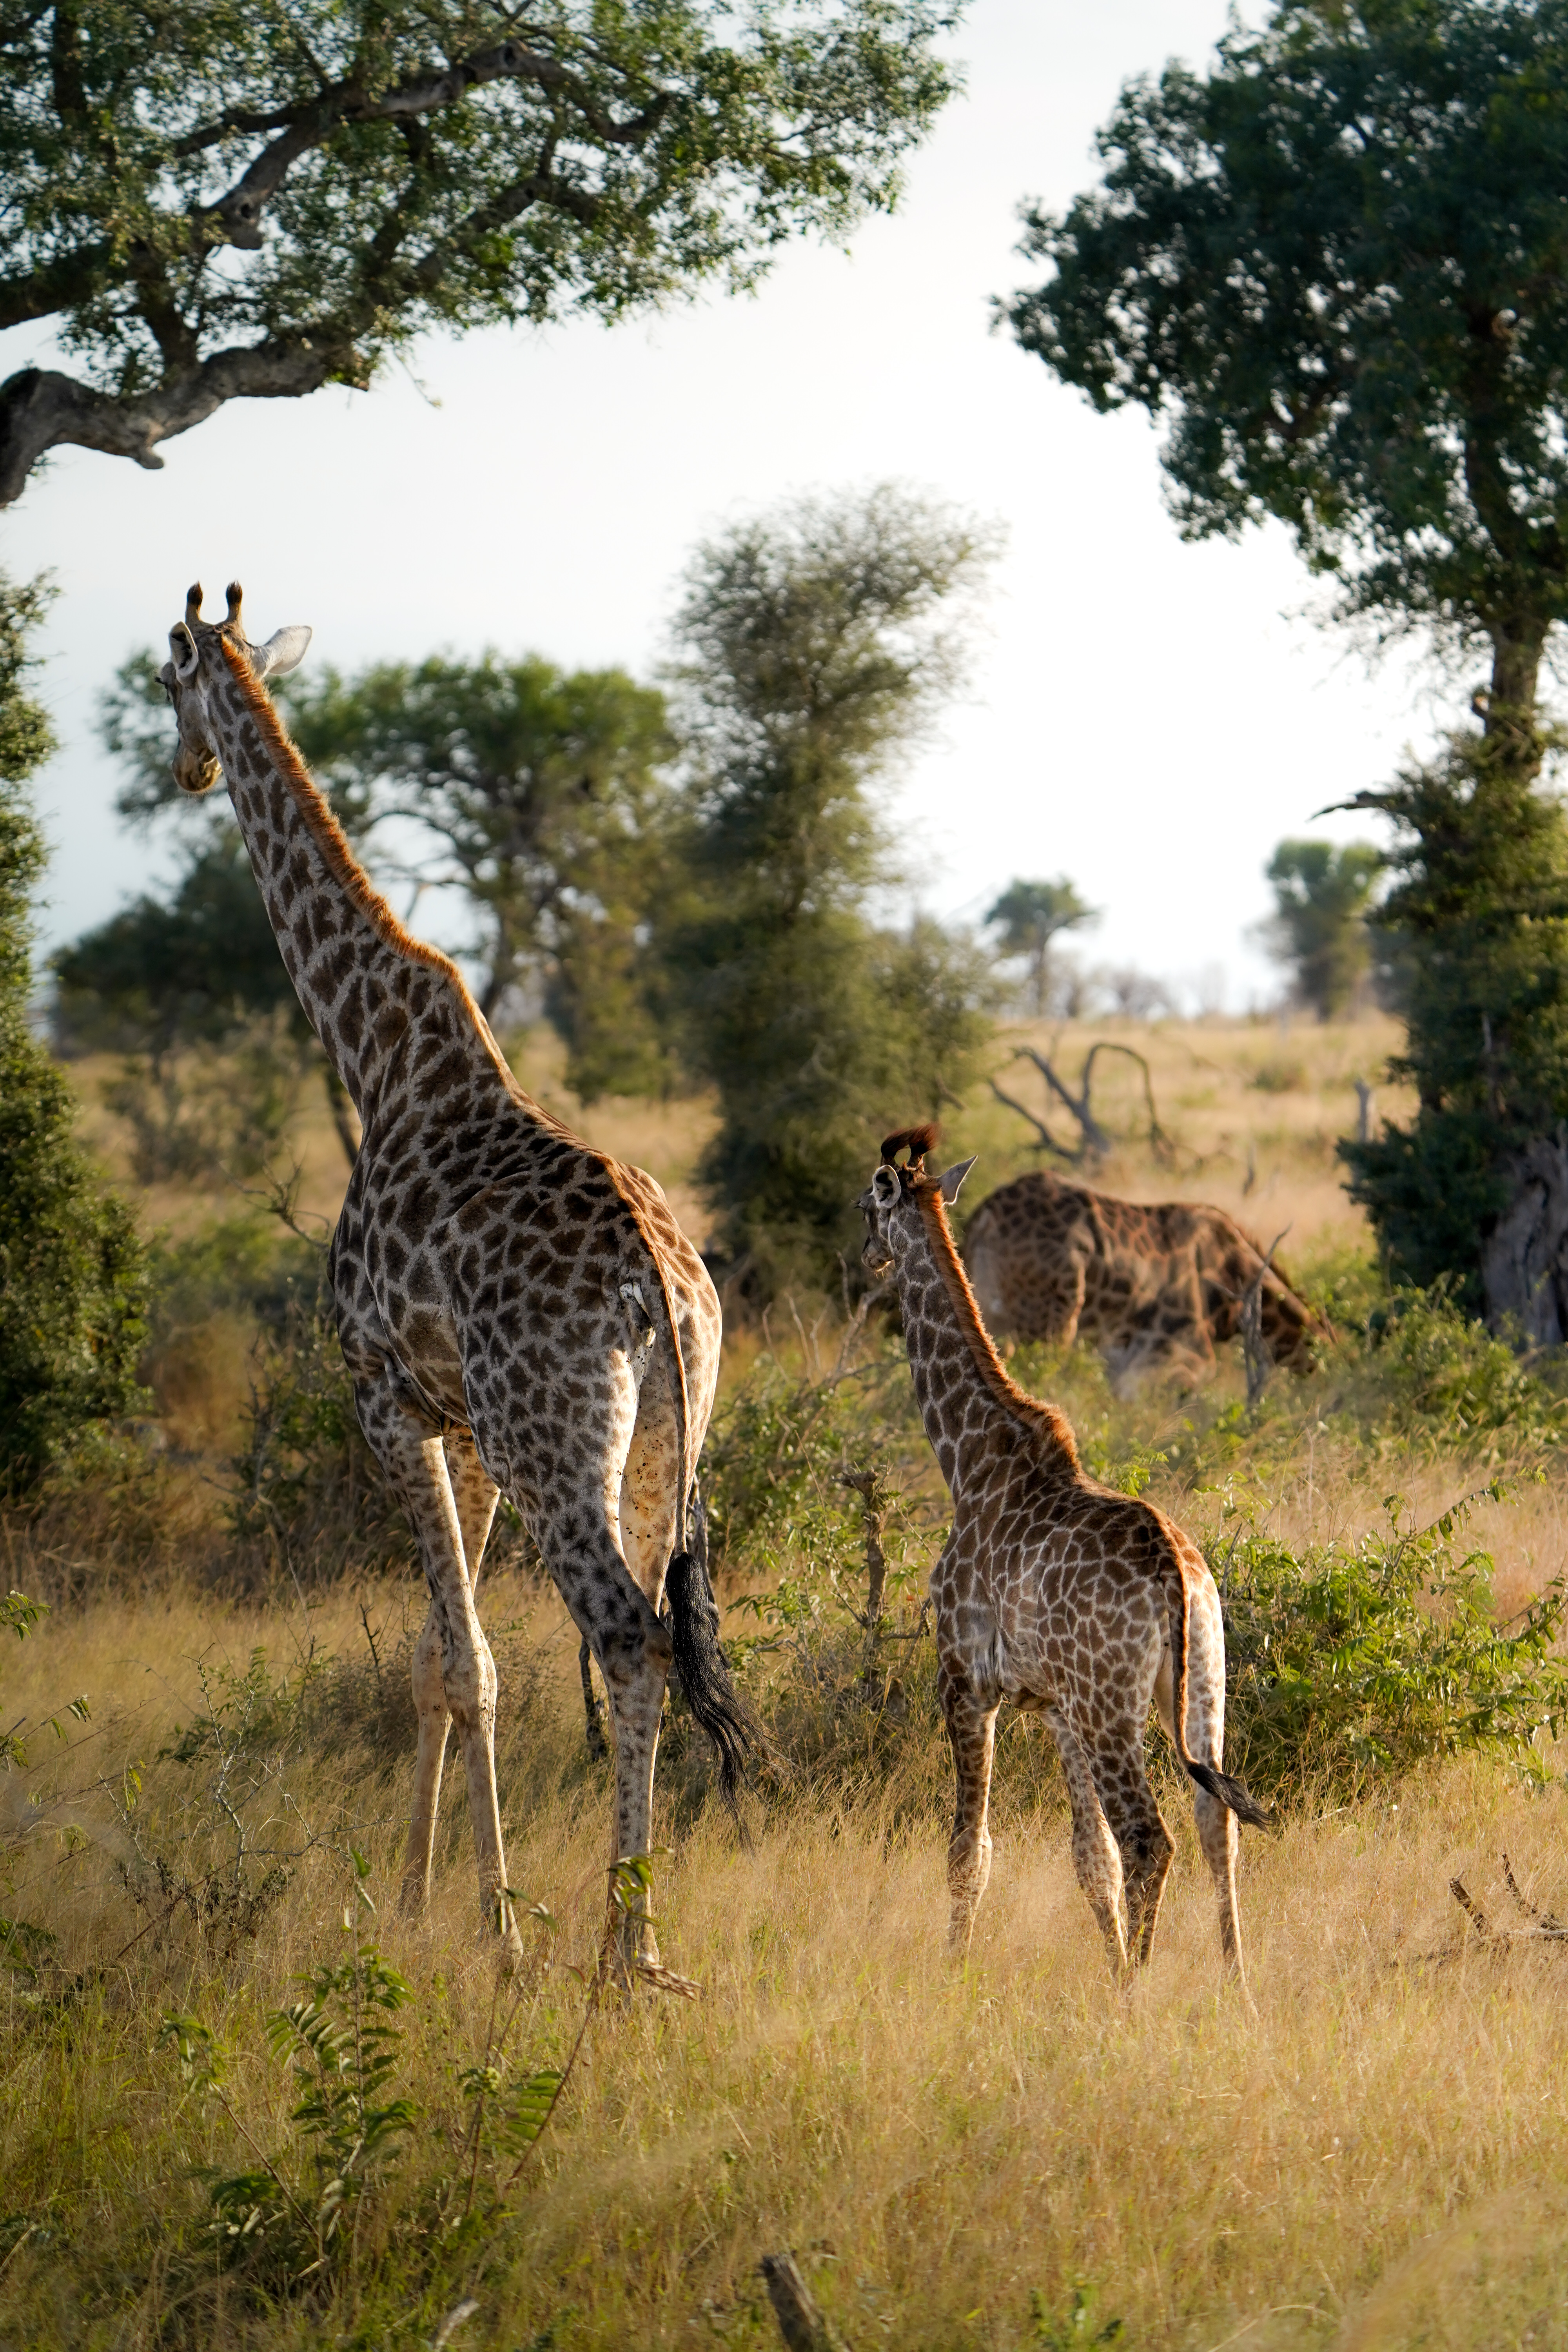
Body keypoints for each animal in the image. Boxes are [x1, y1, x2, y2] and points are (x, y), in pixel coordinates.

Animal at [157, 582, 753, 1973]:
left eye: (166, 685)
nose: (186, 767)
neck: (371, 1052)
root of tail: (660, 1286)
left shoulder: (384, 1392)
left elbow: (467, 1660)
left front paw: (494, 1928)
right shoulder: (464, 1421)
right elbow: (438, 1656)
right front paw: (435, 1893)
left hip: (556, 1442)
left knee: (624, 1636)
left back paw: (615, 1957)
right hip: (662, 1439)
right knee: (665, 1629)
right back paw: (640, 1937)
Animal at [858, 1125, 1269, 1986]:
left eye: (862, 1206)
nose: (865, 1258)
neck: (968, 1462)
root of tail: (1176, 1575)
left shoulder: (964, 1683)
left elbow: (969, 1849)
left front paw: (953, 1972)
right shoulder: (1055, 1706)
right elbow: (1088, 1859)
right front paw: (1108, 1969)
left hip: (1115, 1706)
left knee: (1152, 1837)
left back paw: (1142, 1992)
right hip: (1199, 1684)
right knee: (1215, 1823)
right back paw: (1236, 1987)